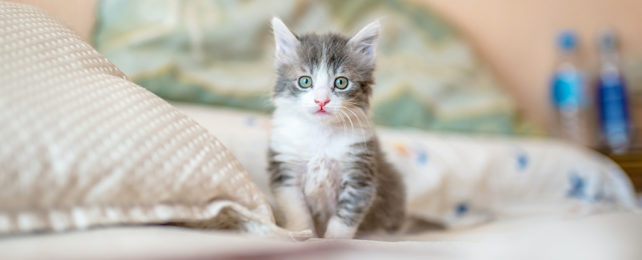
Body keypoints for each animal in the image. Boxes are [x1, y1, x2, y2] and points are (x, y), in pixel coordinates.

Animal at [266, 17, 404, 239]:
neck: (320, 133)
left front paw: (333, 240)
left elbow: (345, 217)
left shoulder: (360, 174)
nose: (321, 101)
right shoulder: (285, 171)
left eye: (341, 82)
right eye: (305, 81)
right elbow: (297, 211)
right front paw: (303, 234)